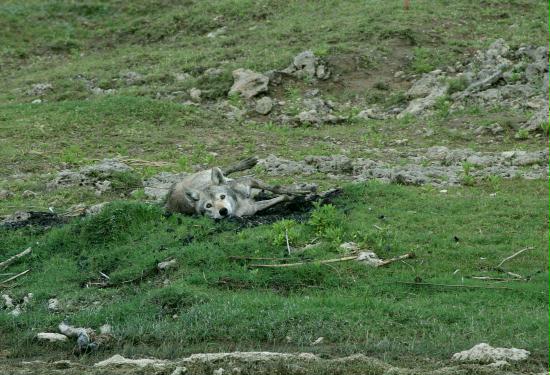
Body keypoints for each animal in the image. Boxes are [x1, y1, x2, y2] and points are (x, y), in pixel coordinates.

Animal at [166, 157, 316, 219]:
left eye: (222, 196)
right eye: (208, 206)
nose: (223, 211)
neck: (239, 202)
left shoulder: (250, 181)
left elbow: (277, 188)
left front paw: (300, 190)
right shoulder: (254, 208)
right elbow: (281, 197)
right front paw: (293, 197)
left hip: (214, 173)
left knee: (225, 170)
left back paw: (248, 162)